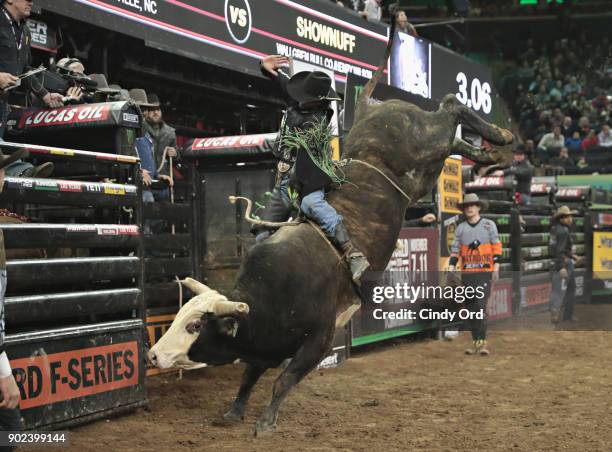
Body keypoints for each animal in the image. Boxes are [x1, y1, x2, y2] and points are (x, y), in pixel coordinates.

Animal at [148, 14, 512, 436]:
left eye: (194, 327)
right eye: (178, 317)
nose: (153, 355)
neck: (268, 296)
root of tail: (371, 108)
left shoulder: (318, 340)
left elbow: (283, 379)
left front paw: (266, 422)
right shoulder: (266, 344)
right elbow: (249, 376)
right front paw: (235, 411)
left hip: (426, 143)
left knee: (451, 106)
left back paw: (501, 136)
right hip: (428, 167)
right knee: (454, 136)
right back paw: (487, 153)